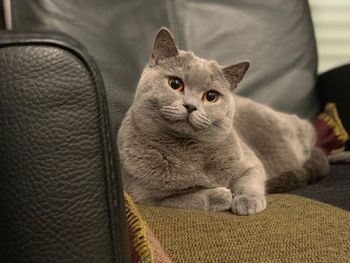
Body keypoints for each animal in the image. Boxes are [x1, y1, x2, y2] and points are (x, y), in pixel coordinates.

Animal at [118, 27, 330, 217]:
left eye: (211, 96)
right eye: (175, 84)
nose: (190, 106)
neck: (187, 151)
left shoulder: (251, 163)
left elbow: (249, 180)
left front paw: (247, 201)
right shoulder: (145, 195)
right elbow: (187, 198)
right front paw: (220, 196)